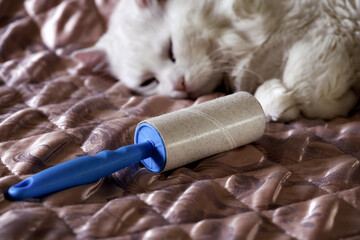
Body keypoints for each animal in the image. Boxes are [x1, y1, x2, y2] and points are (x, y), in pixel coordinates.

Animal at [74, 0, 360, 122]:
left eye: (171, 50)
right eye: (148, 82)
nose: (178, 85)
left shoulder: (324, 27)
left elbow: (306, 89)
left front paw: (346, 104)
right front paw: (277, 100)